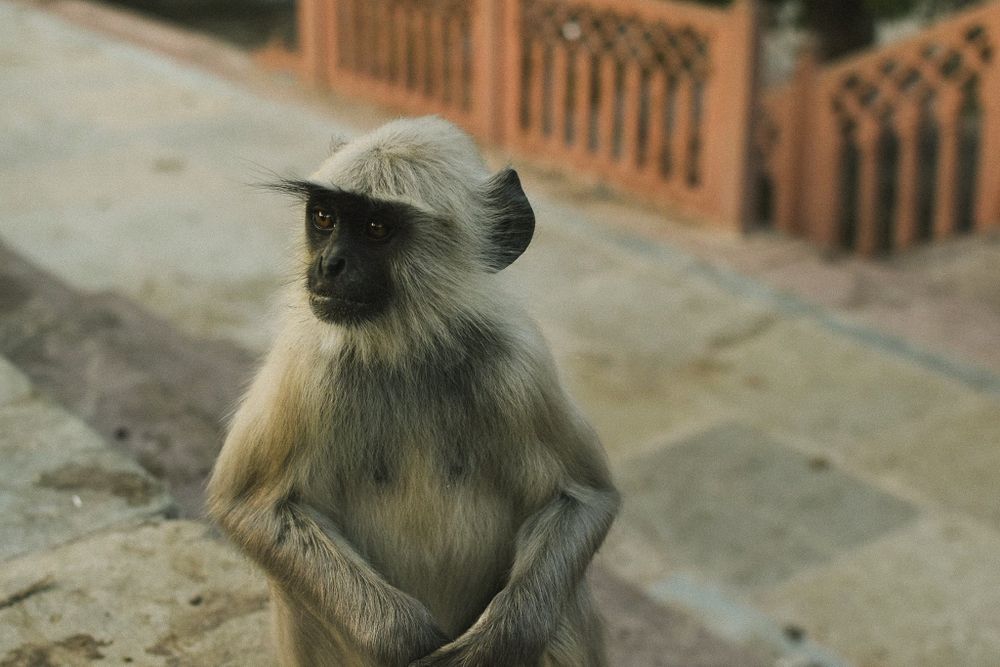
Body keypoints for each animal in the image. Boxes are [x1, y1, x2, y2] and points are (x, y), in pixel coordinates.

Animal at [207, 116, 619, 667]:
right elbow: (248, 506)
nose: (330, 265)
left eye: (377, 229)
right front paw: (406, 640)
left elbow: (585, 498)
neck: (404, 349)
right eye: (324, 218)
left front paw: (493, 643)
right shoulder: (307, 363)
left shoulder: (518, 361)